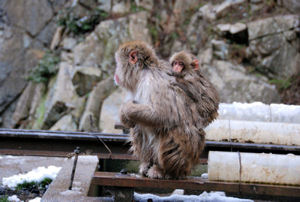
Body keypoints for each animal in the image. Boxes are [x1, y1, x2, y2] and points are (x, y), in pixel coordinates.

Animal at [113, 40, 205, 178]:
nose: (115, 72)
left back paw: (162, 170)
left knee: (168, 128)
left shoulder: (153, 82)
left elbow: (162, 114)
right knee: (138, 126)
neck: (143, 71)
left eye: (118, 63)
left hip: (184, 158)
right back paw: (147, 163)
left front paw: (126, 109)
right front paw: (124, 117)